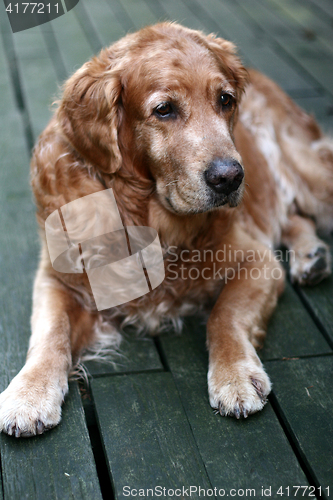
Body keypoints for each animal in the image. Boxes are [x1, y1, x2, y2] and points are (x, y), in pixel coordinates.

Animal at [0, 23, 332, 436]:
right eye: (164, 109)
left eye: (225, 100)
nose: (230, 177)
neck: (145, 220)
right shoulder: (56, 277)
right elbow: (49, 333)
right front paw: (28, 393)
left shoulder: (258, 262)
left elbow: (224, 315)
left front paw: (235, 376)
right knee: (293, 217)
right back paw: (311, 256)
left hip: (311, 178)